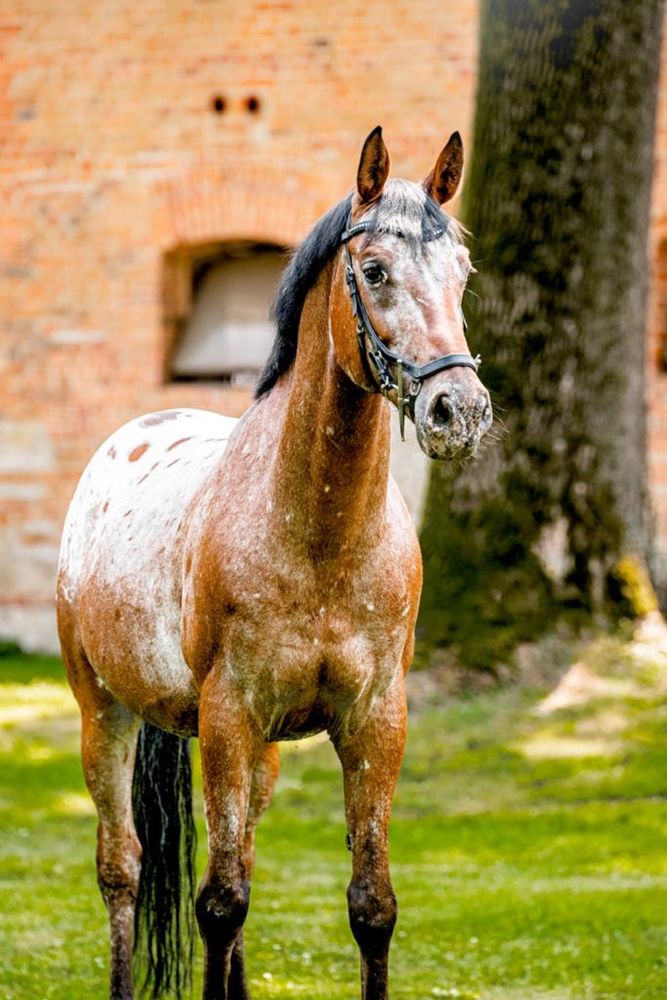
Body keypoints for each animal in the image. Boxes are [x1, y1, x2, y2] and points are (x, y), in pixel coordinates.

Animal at [57, 127, 494, 1000]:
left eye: (461, 271)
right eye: (373, 271)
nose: (457, 411)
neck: (317, 537)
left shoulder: (374, 720)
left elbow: (370, 905)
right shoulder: (229, 715)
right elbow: (218, 904)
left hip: (253, 755)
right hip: (104, 714)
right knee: (123, 870)